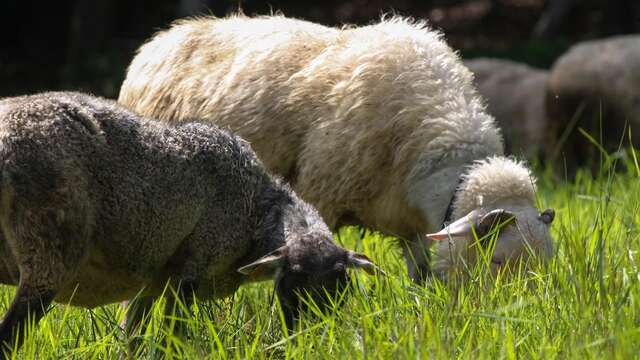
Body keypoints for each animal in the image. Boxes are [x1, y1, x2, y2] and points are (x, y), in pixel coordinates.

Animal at [0, 91, 378, 352]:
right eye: (292, 281)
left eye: (341, 284)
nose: (315, 339)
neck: (255, 208)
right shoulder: (192, 267)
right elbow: (173, 338)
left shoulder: (152, 281)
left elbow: (133, 339)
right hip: (48, 252)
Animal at [120, 14, 556, 282]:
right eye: (497, 260)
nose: (512, 315)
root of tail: (165, 36)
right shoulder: (322, 196)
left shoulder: (411, 226)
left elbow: (420, 277)